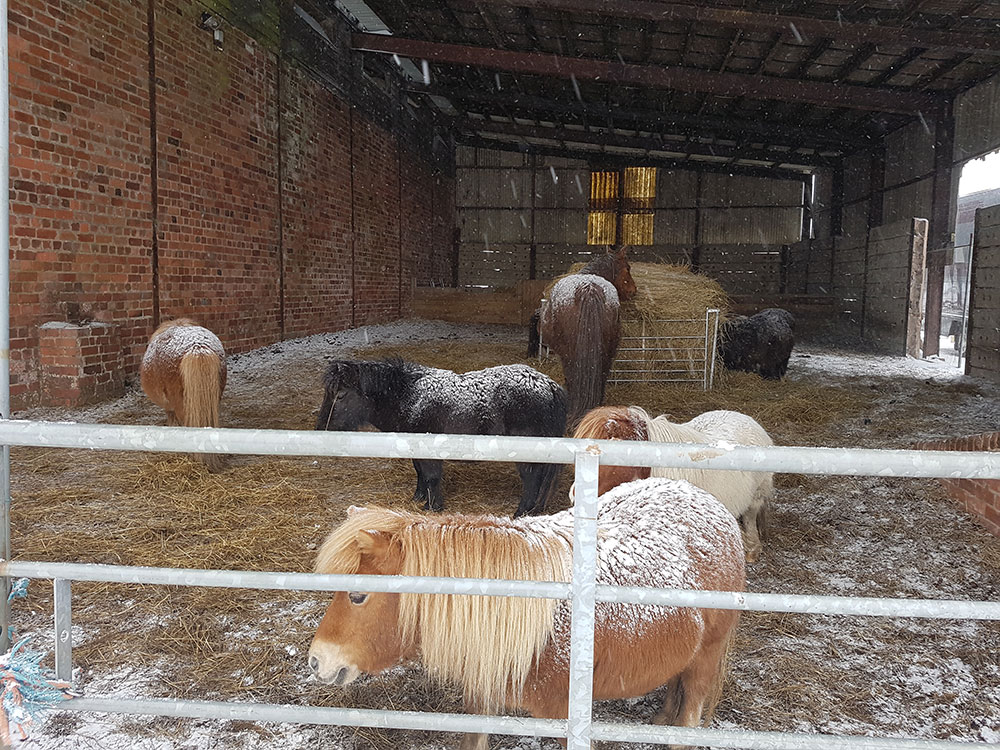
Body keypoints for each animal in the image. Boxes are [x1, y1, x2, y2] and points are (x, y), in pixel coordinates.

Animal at [308, 476, 745, 750]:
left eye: (359, 596)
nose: (316, 660)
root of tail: (712, 506)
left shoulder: (565, 718)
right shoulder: (482, 691)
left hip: (708, 657)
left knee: (689, 713)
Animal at [314, 358, 567, 517]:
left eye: (341, 395)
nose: (321, 431)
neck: (410, 397)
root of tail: (549, 384)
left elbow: (432, 477)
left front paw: (432, 507)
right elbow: (420, 473)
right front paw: (419, 498)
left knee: (532, 479)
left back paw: (521, 512)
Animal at [531, 247, 637, 424]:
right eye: (628, 268)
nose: (634, 291)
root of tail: (589, 288)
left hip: (569, 353)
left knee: (573, 377)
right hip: (606, 350)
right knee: (601, 375)